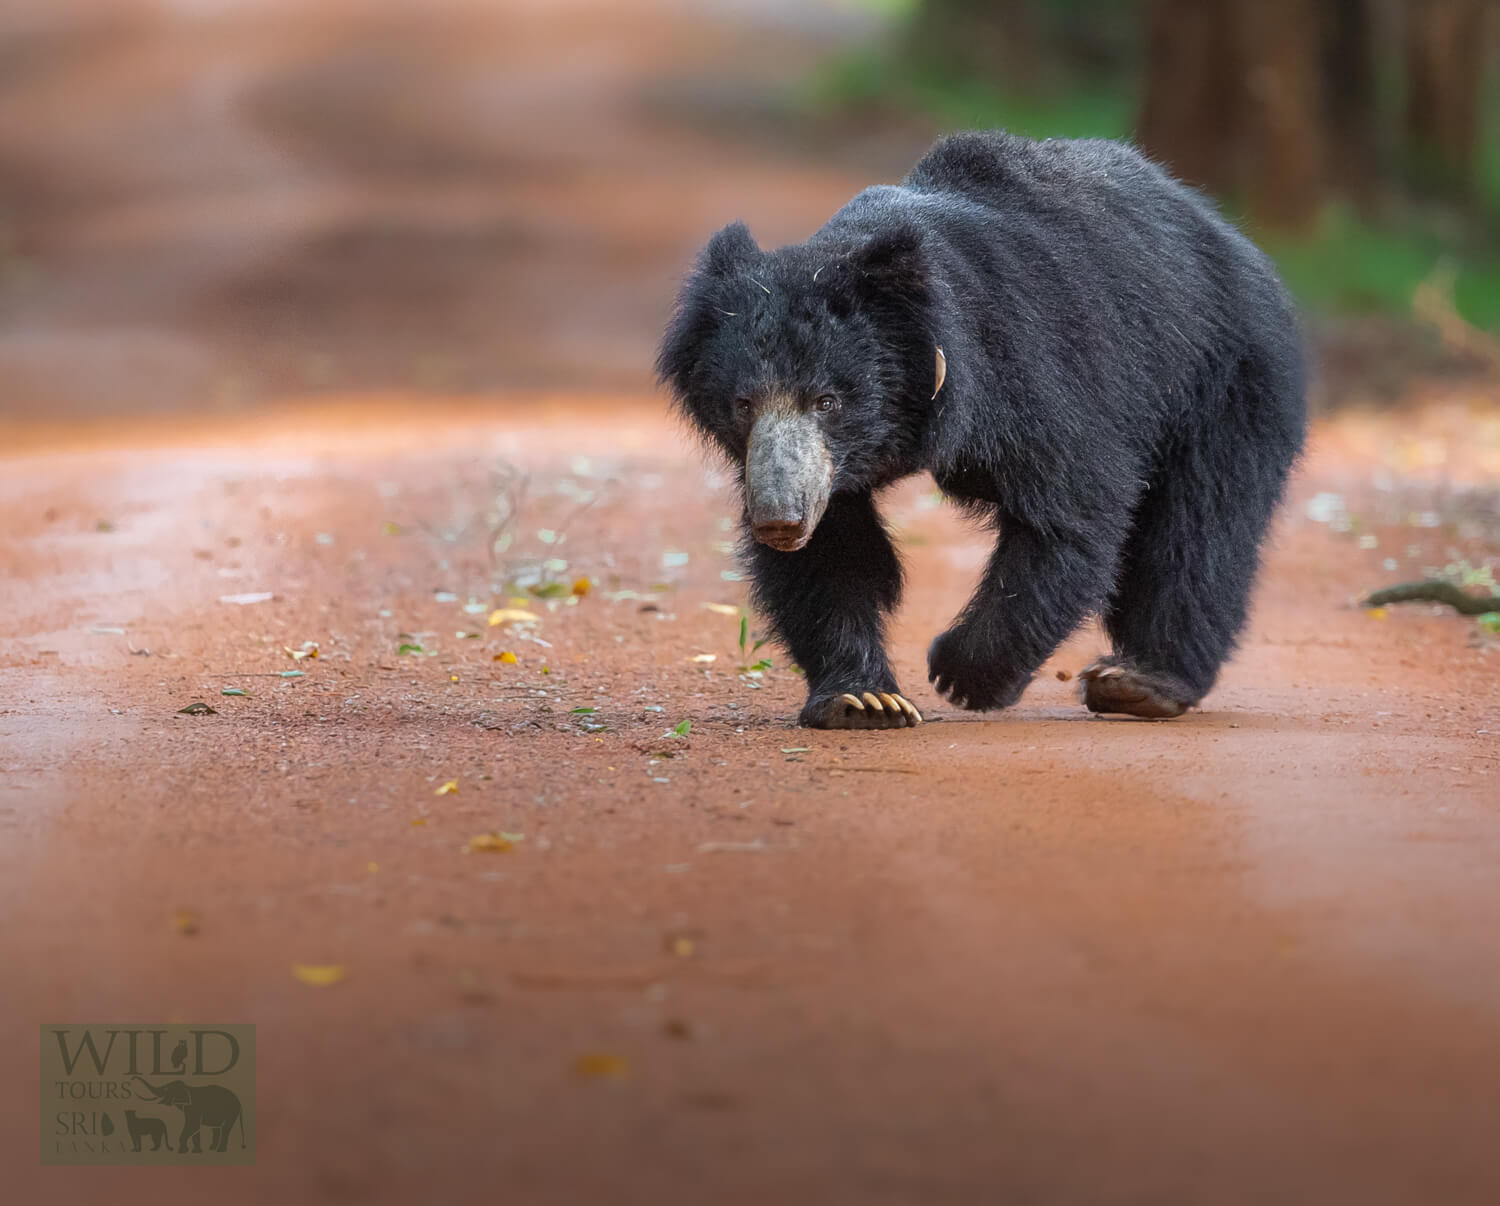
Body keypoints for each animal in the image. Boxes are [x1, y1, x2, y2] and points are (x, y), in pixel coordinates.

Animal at [657, 136, 1302, 729]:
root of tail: (1228, 236)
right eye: (743, 404)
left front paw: (960, 673)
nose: (780, 521)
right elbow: (835, 554)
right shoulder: (823, 471)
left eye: (828, 401)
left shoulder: (1030, 367)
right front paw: (865, 699)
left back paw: (1143, 682)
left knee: (1198, 529)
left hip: (1224, 378)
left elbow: (1069, 513)